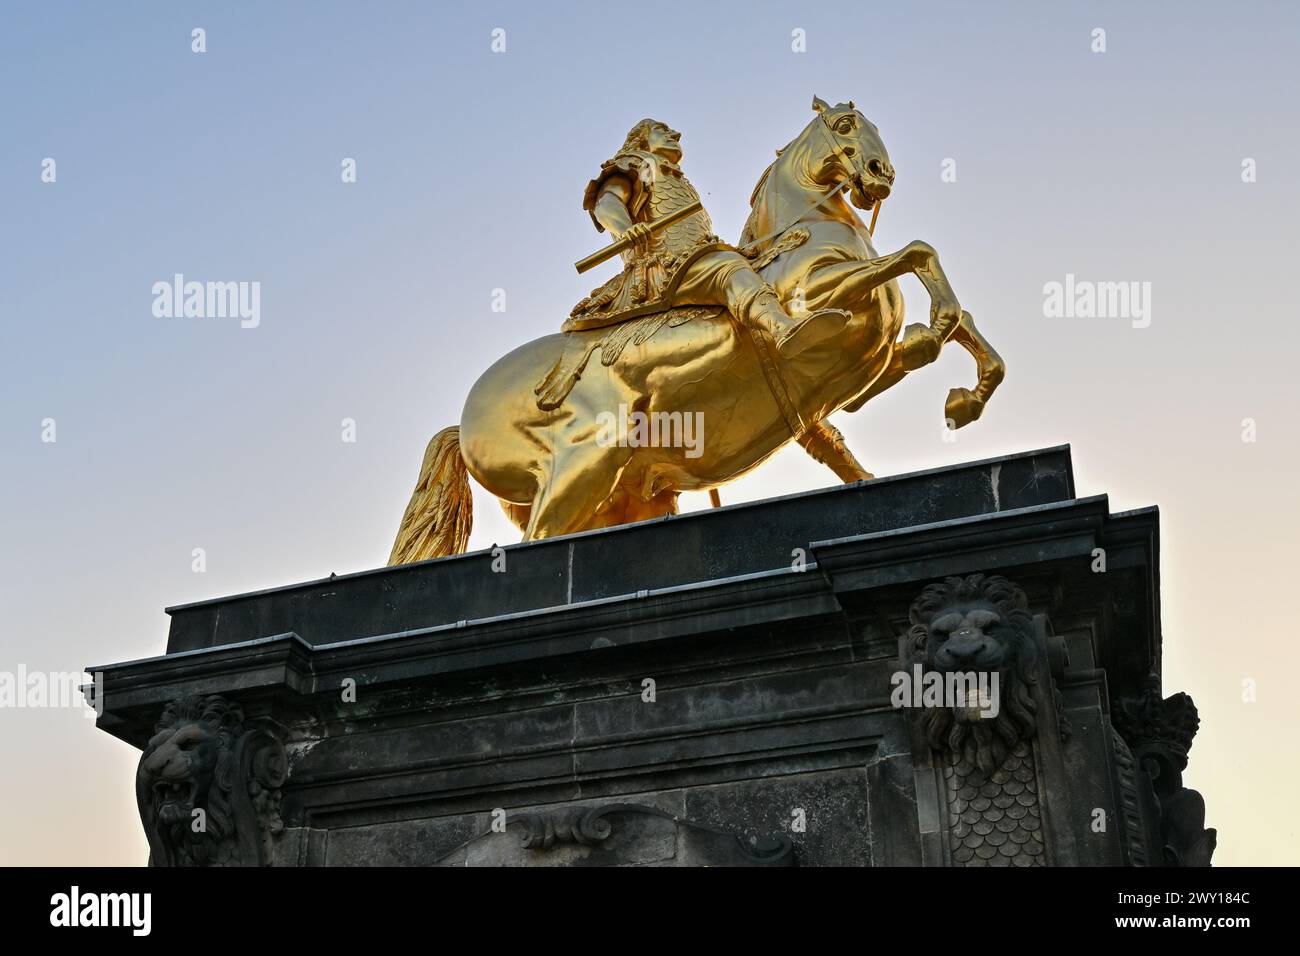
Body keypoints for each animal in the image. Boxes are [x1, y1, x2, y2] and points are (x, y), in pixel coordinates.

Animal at [384, 98, 1003, 561]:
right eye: (847, 125)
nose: (881, 175)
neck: (804, 232)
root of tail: (465, 419)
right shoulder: (819, 297)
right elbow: (918, 253)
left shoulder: (862, 371)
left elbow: (941, 327)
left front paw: (964, 396)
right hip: (581, 469)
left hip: (617, 499)